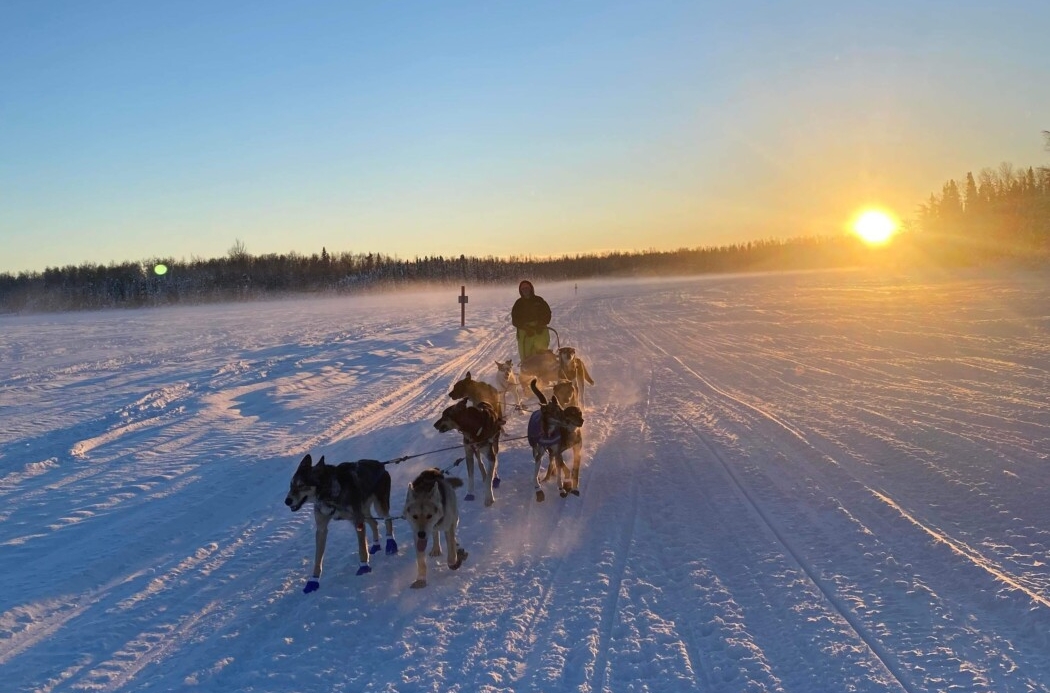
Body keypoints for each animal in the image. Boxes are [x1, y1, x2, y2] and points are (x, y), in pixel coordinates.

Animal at [285, 454, 398, 593]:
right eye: (291, 485)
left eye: (301, 485)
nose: (287, 501)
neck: (327, 494)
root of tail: (380, 464)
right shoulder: (321, 529)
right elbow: (318, 558)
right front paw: (313, 581)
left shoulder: (358, 522)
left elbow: (361, 548)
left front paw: (364, 567)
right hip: (363, 513)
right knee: (374, 522)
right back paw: (376, 545)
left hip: (378, 507)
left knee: (388, 520)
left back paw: (391, 544)